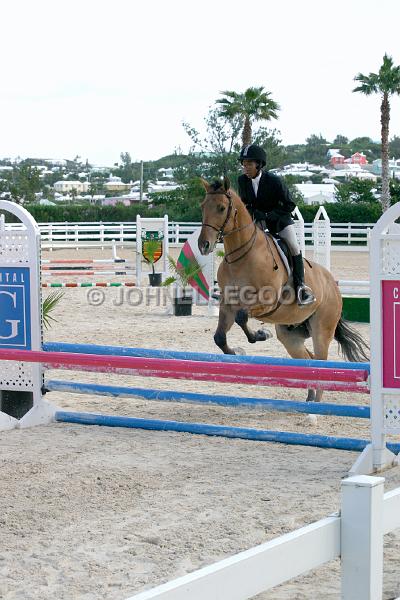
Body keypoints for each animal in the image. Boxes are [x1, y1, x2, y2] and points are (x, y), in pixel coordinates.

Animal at [197, 178, 368, 404]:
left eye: (221, 208)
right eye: (202, 207)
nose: (204, 245)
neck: (242, 256)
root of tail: (333, 284)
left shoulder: (266, 301)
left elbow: (242, 317)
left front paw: (261, 335)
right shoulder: (227, 305)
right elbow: (219, 337)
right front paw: (236, 351)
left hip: (321, 330)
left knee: (321, 362)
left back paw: (315, 404)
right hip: (291, 335)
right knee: (308, 360)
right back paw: (309, 397)